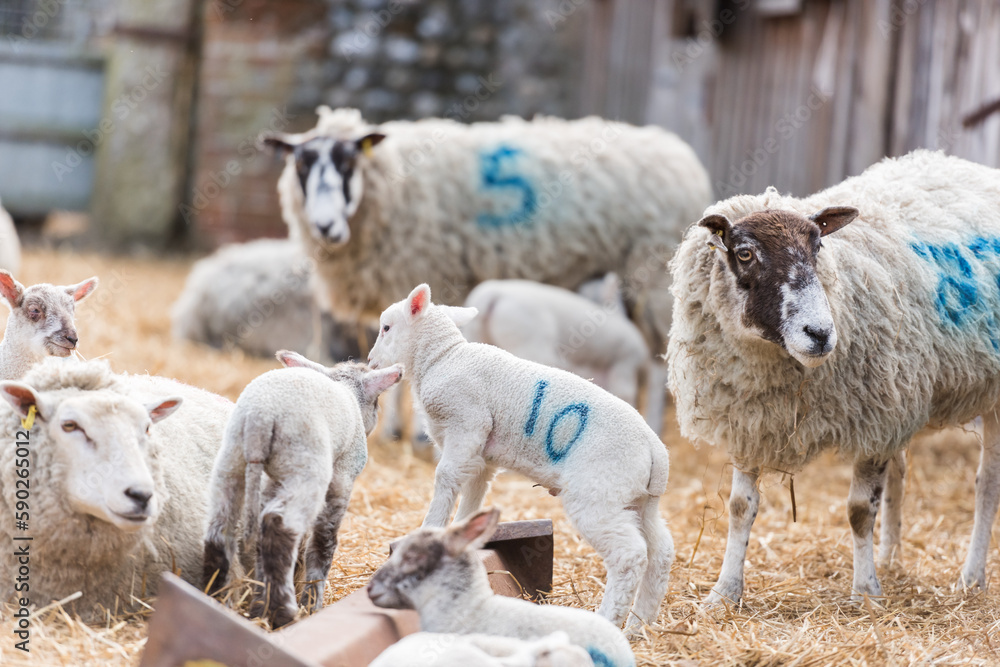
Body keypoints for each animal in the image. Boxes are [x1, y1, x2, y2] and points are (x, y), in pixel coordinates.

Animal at [202, 351, 403, 628]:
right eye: (377, 402)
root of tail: (260, 417)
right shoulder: (342, 477)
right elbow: (324, 539)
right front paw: (311, 603)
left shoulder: (272, 483)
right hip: (305, 463)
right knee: (279, 525)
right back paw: (281, 611)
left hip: (232, 459)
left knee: (220, 528)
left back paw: (219, 596)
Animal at [262, 106, 712, 358]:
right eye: (300, 165)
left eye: (347, 163)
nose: (325, 226)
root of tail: (682, 155)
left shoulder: (432, 265)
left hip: (653, 276)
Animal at [367, 284, 673, 633]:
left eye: (386, 327)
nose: (371, 362)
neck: (442, 358)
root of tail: (655, 448)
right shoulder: (481, 455)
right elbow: (473, 494)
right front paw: (463, 533)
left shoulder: (467, 425)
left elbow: (445, 479)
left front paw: (430, 528)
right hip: (638, 500)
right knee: (661, 552)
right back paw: (640, 625)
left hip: (599, 493)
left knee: (629, 555)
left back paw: (610, 619)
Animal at [665, 150, 1000, 604]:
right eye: (745, 253)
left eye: (818, 245)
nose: (820, 333)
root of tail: (969, 166)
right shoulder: (751, 420)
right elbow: (739, 507)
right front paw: (724, 592)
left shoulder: (874, 416)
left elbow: (859, 511)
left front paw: (867, 592)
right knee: (900, 472)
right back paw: (891, 558)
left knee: (987, 483)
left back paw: (971, 576)